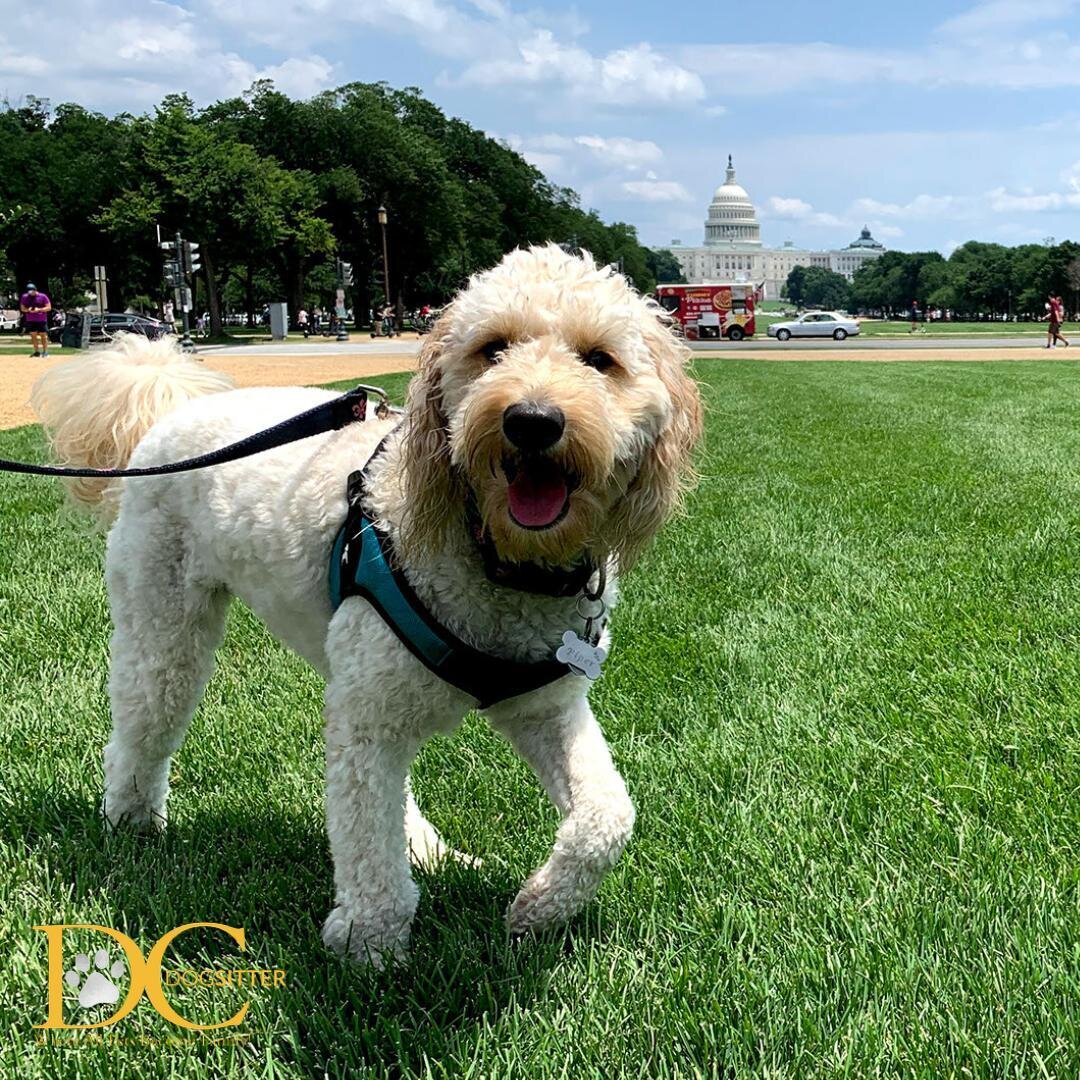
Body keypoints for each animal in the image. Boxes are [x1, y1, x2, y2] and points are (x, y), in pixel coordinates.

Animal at [33, 248, 699, 967]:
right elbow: (366, 845)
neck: (495, 557)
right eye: (492, 349)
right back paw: (132, 825)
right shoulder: (370, 720)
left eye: (600, 359)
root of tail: (174, 405)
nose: (531, 420)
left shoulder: (545, 707)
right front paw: (369, 947)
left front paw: (537, 910)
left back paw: (427, 848)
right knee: (144, 725)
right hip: (167, 624)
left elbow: (608, 817)